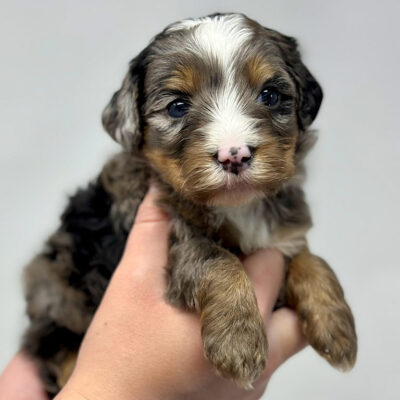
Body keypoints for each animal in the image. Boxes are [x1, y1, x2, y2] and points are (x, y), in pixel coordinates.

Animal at [22, 13, 356, 396]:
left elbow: (311, 260)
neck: (240, 206)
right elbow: (215, 259)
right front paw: (238, 341)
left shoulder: (283, 237)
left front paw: (337, 326)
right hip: (56, 288)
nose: (234, 155)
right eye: (177, 107)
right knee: (48, 343)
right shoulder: (175, 237)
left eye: (270, 95)